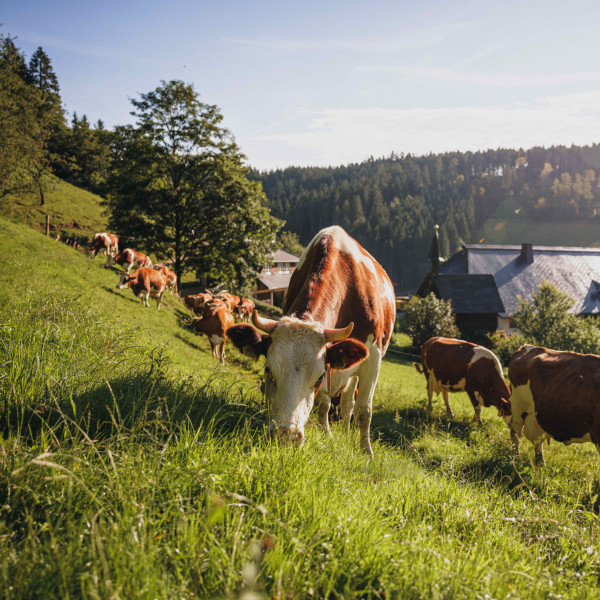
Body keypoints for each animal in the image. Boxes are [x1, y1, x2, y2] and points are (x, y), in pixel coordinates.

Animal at [227, 225, 396, 454]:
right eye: (268, 370)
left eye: (318, 378)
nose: (286, 436)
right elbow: (325, 405)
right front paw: (328, 435)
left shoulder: (373, 359)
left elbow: (364, 411)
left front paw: (366, 452)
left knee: (349, 404)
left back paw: (347, 432)